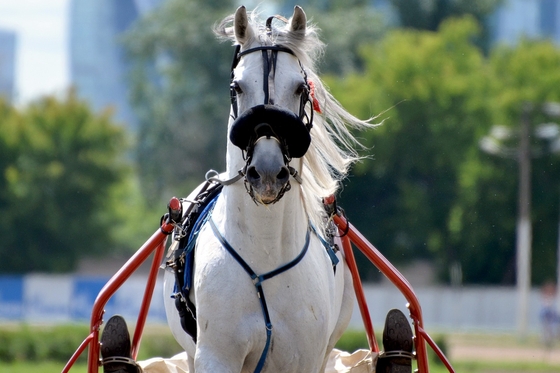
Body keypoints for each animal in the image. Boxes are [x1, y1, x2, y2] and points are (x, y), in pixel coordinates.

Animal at [164, 6, 374, 372]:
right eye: (236, 87)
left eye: (301, 89)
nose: (266, 173)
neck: (264, 253)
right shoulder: (216, 356)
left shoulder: (304, 357)